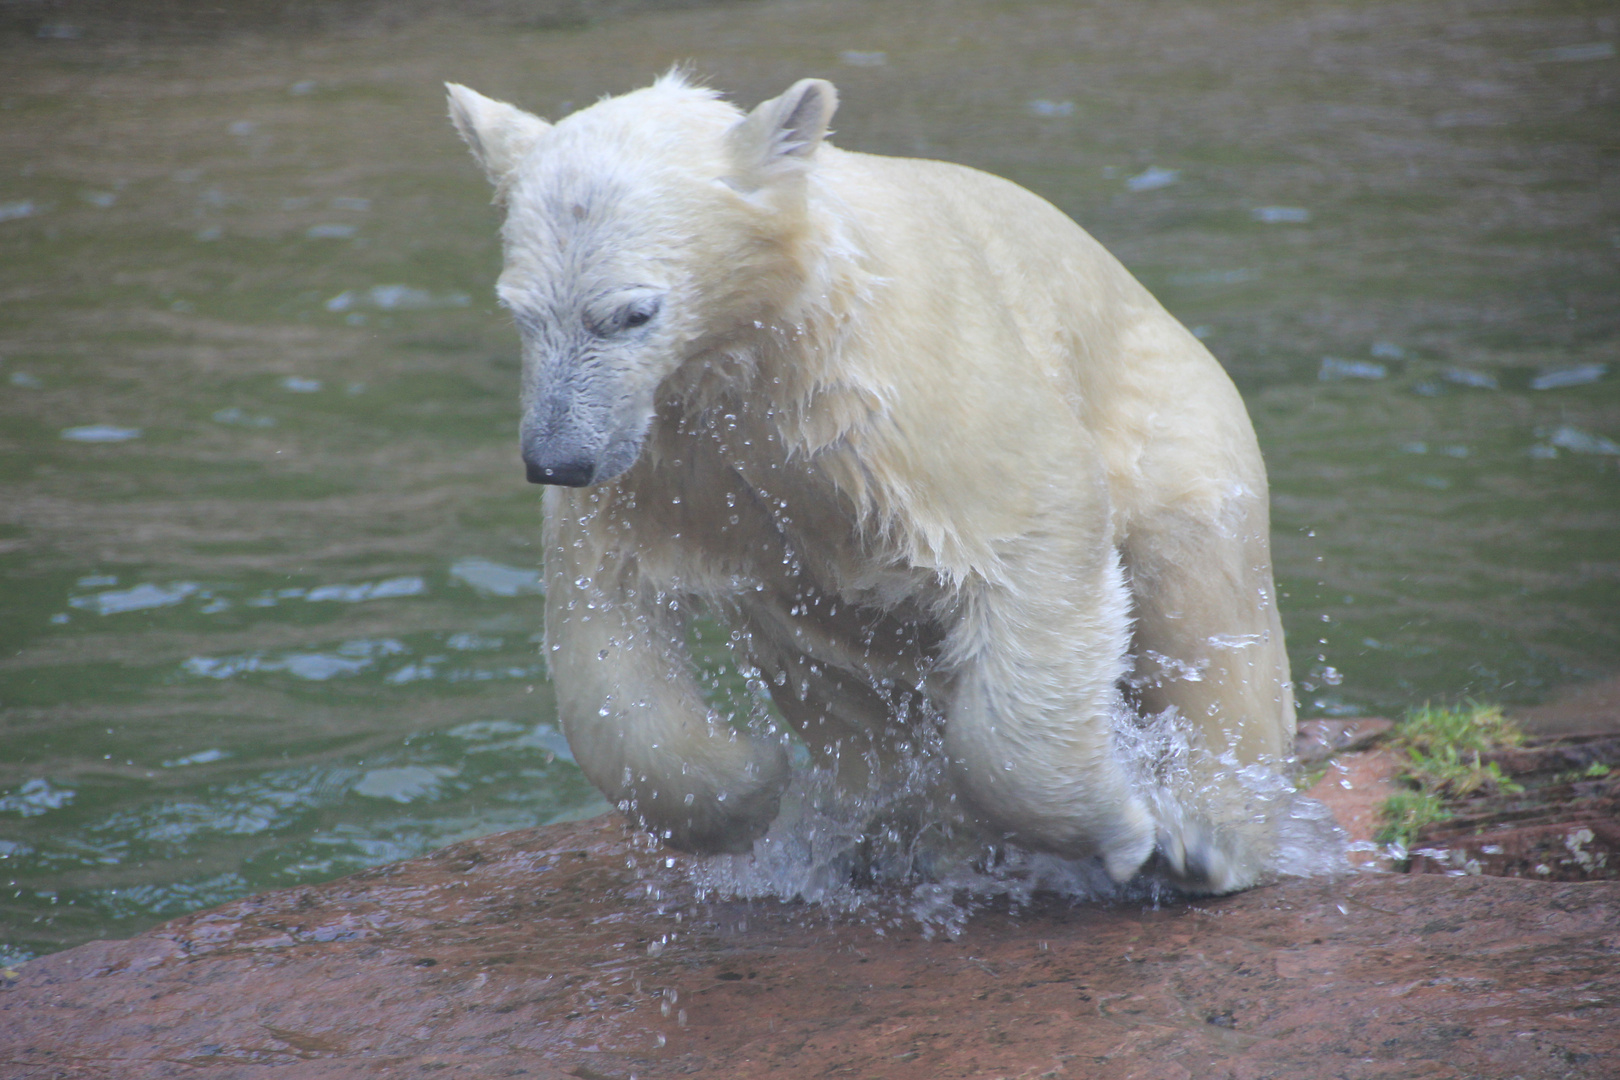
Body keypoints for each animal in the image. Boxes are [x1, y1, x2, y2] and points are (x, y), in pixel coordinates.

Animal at [450, 71, 1296, 893]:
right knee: (841, 683)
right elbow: (606, 623)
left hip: (1175, 423)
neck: (766, 347)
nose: (557, 460)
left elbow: (1032, 533)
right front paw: (749, 784)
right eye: (520, 313)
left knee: (1202, 603)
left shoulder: (901, 401)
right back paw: (889, 843)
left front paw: (1123, 828)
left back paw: (1208, 840)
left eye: (631, 314)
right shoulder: (667, 463)